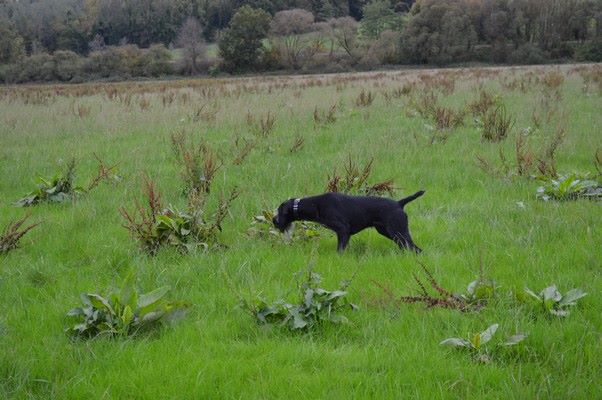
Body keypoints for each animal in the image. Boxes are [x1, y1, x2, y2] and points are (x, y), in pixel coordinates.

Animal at [272, 190, 422, 252]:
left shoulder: (343, 231)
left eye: (279, 211)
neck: (316, 204)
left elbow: (340, 250)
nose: (273, 221)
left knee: (416, 249)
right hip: (390, 233)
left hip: (398, 232)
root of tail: (399, 203)